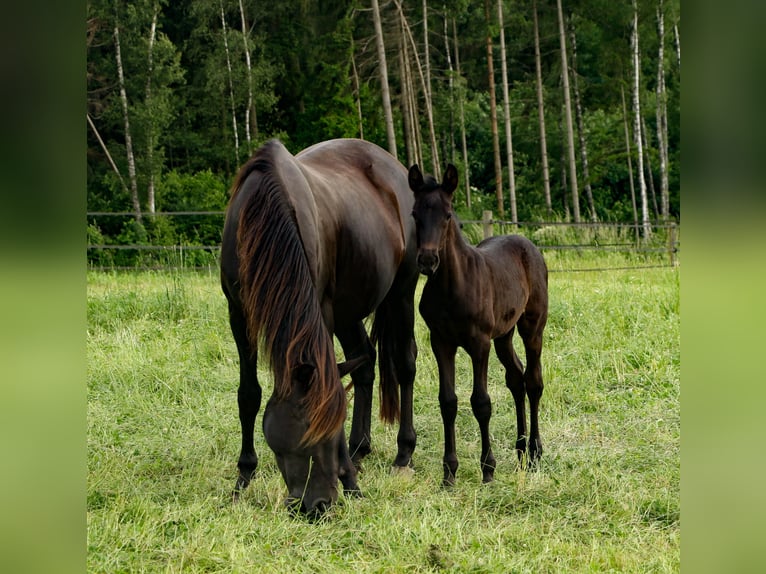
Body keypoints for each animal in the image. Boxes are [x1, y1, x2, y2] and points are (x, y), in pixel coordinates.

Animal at [220, 139, 419, 517]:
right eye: (307, 435)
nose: (319, 504)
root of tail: (395, 168)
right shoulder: (238, 314)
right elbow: (248, 394)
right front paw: (243, 478)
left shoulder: (320, 310)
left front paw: (351, 482)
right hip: (349, 310)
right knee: (364, 361)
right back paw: (360, 449)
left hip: (401, 291)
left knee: (405, 364)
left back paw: (403, 454)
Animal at [408, 163, 549, 487]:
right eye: (414, 214)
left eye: (448, 215)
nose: (427, 260)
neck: (452, 287)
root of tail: (526, 243)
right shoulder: (441, 342)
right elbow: (448, 402)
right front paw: (449, 472)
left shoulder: (479, 343)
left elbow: (481, 402)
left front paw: (488, 469)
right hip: (504, 335)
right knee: (517, 378)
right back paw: (520, 450)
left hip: (532, 326)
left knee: (533, 381)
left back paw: (535, 452)